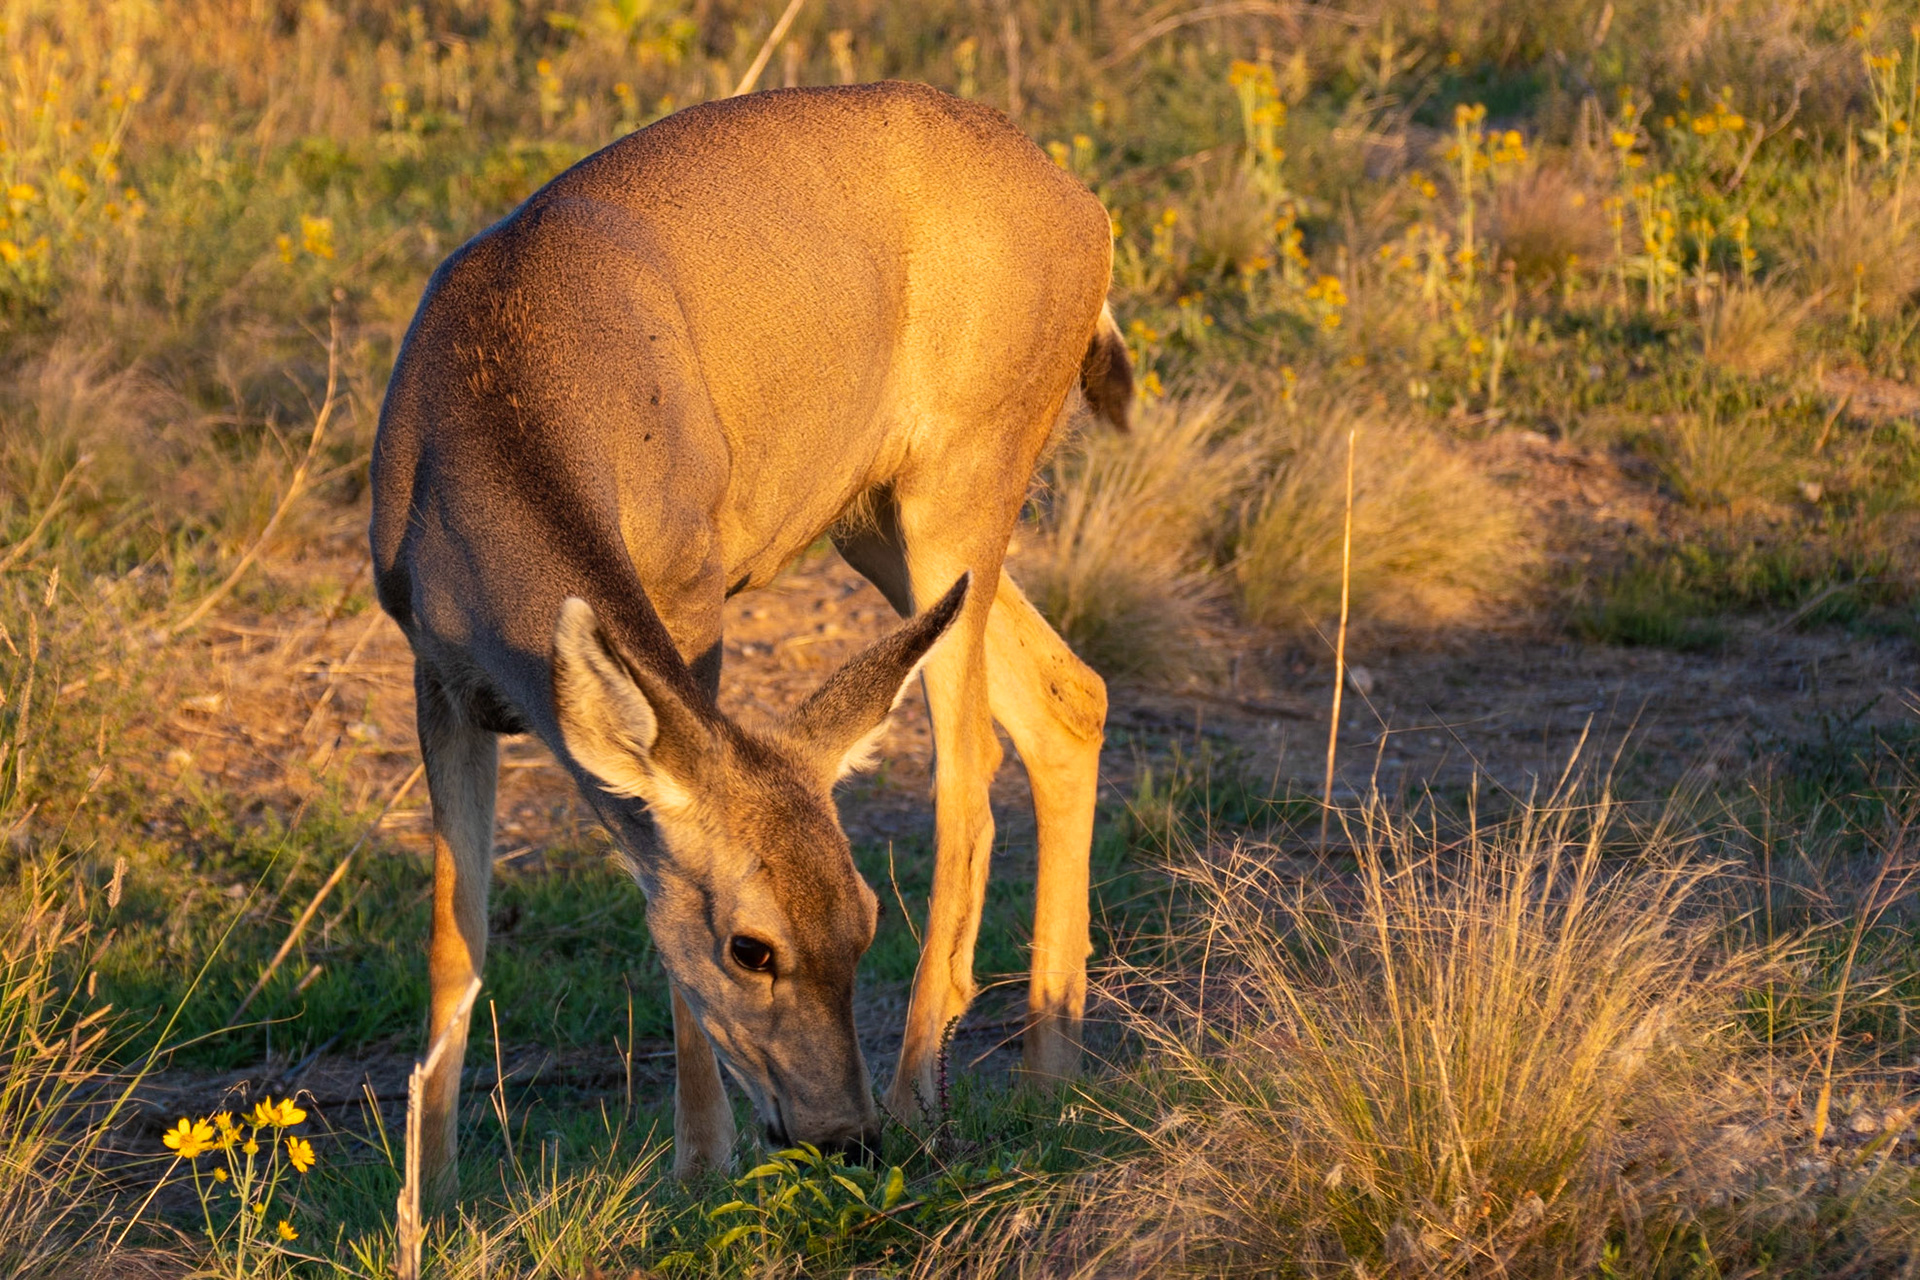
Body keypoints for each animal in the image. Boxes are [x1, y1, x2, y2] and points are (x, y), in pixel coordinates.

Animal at [369, 79, 1131, 1202]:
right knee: (1068, 696)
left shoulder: (693, 590)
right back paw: (1050, 1082)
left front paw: (700, 1166)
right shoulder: (434, 666)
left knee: (969, 774)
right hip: (880, 516)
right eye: (753, 949)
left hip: (965, 469)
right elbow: (452, 946)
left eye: (864, 920)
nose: (841, 1134)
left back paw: (923, 1096)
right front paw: (432, 1201)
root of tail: (1088, 211)